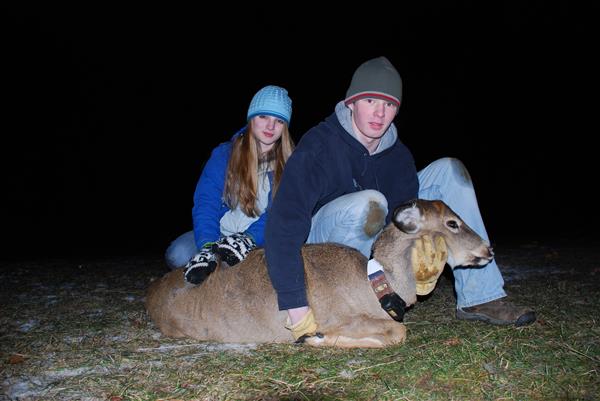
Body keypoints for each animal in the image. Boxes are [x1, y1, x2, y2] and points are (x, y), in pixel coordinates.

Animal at [145, 199, 492, 346]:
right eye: (452, 223)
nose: (488, 250)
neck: (374, 284)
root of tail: (152, 293)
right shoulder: (336, 315)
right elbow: (398, 332)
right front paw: (317, 338)